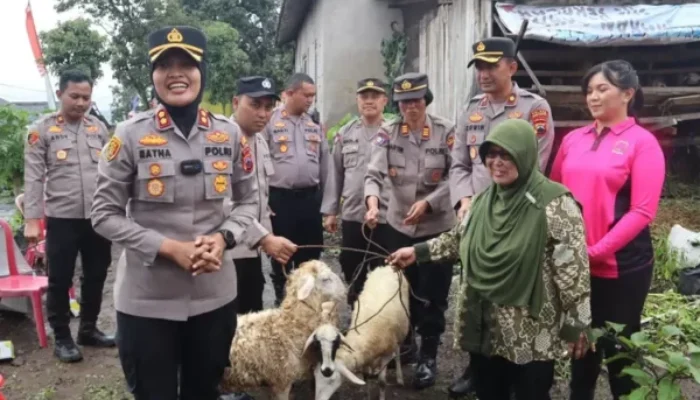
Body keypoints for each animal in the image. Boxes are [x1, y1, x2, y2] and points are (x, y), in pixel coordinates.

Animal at [304, 266, 410, 400]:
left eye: (332, 380)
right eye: (316, 376)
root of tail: (387, 266)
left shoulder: (386, 353)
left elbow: (382, 382)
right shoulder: (366, 355)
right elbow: (366, 376)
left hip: (399, 332)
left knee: (398, 351)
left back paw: (399, 378)